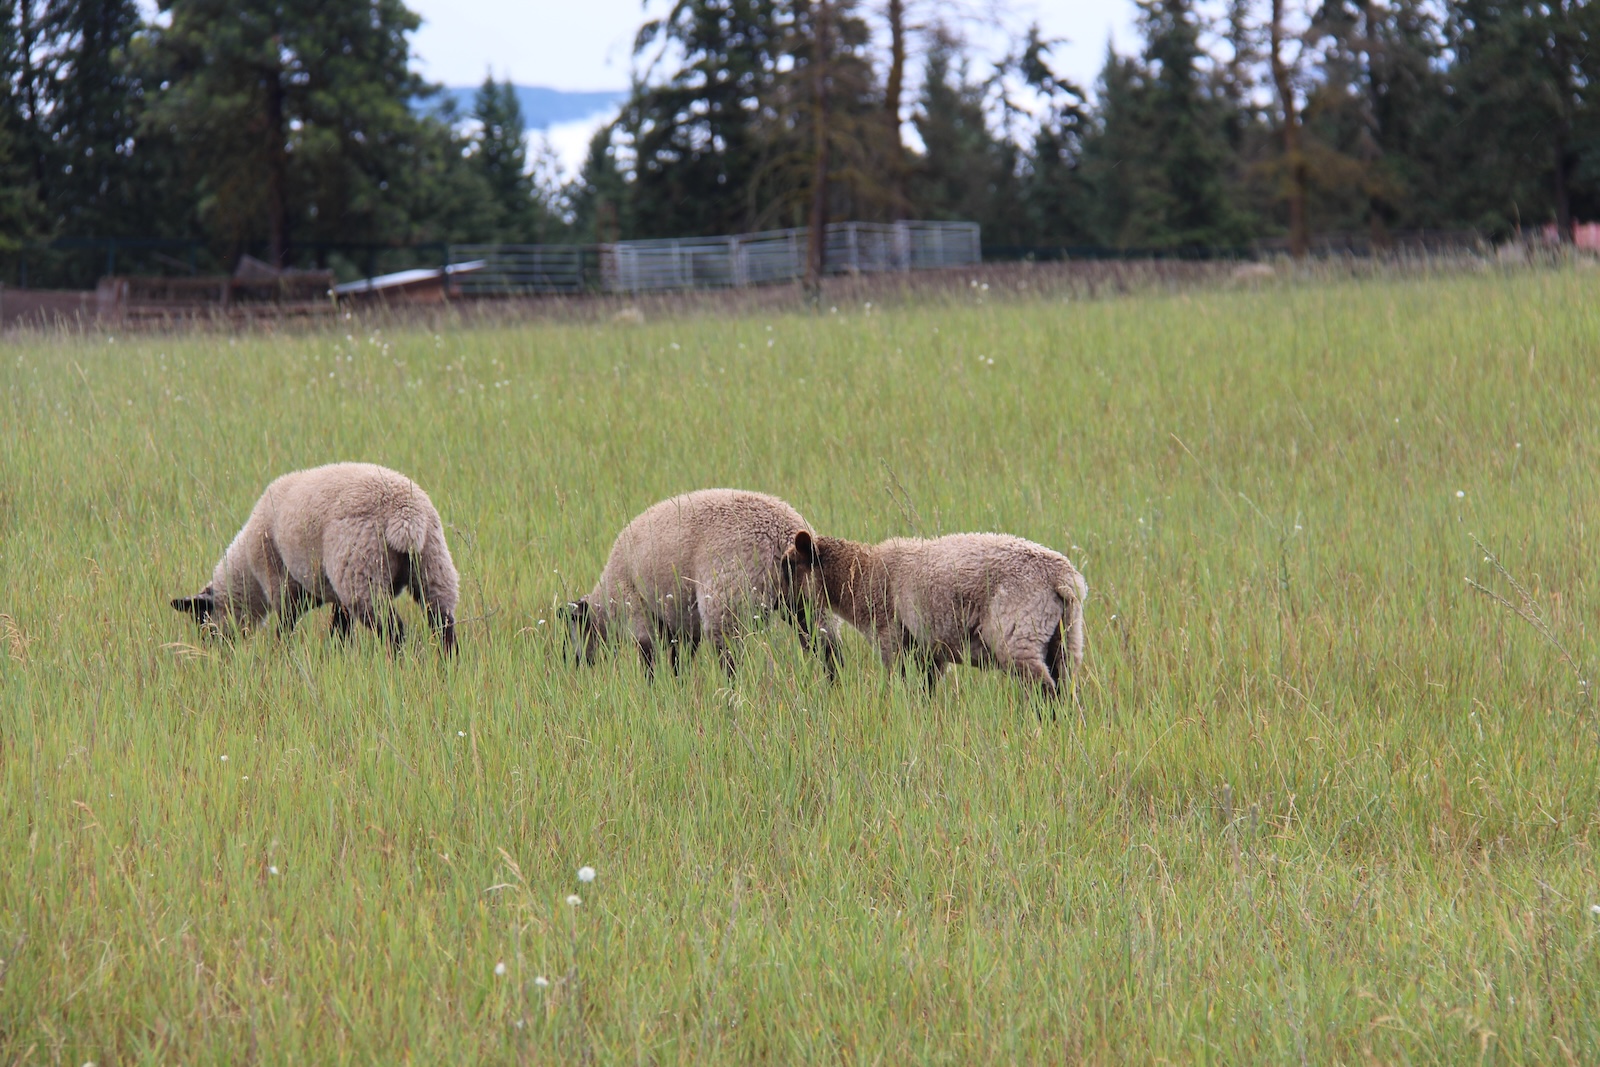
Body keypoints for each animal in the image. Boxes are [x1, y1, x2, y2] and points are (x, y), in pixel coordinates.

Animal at [172, 463, 460, 655]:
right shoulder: (333, 595)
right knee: (443, 623)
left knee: (394, 629)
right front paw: (336, 657)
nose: (210, 654)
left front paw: (282, 657)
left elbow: (285, 627)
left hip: (361, 575)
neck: (248, 575)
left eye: (203, 622)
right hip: (433, 565)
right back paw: (448, 669)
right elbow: (340, 630)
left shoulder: (281, 584)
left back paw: (396, 663)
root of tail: (406, 515)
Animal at [560, 489, 838, 681]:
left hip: (727, 602)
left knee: (730, 662)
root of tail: (786, 535)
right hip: (810, 600)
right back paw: (834, 691)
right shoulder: (683, 623)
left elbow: (649, 660)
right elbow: (679, 663)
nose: (571, 665)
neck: (606, 601)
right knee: (829, 649)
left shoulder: (637, 611)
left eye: (570, 634)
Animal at [784, 531, 1088, 700]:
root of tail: (1062, 578)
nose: (783, 607)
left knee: (1045, 689)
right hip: (1066, 638)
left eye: (789, 565)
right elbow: (925, 693)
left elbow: (899, 685)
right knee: (1066, 688)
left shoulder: (892, 638)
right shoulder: (930, 653)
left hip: (1020, 633)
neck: (860, 579)